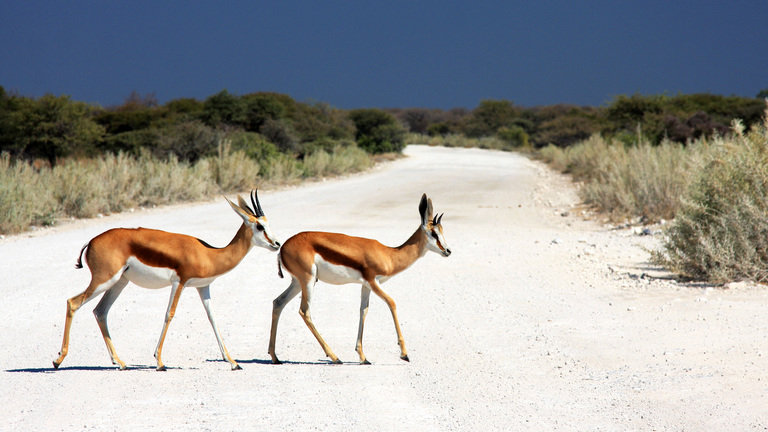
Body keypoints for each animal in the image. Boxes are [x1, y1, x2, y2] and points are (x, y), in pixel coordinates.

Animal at [52, 190, 280, 371]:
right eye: (259, 226)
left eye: (268, 223)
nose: (277, 243)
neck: (208, 254)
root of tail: (91, 241)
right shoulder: (179, 282)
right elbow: (169, 314)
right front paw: (159, 362)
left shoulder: (203, 286)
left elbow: (213, 318)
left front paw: (233, 362)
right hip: (104, 280)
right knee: (73, 303)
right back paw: (58, 360)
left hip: (119, 283)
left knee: (100, 311)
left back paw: (120, 362)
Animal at [268, 193, 450, 365]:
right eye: (434, 233)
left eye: (441, 231)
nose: (448, 251)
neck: (389, 255)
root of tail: (282, 247)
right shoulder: (373, 281)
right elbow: (391, 303)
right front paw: (404, 354)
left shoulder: (366, 286)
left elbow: (363, 310)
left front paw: (363, 357)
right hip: (308, 280)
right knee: (304, 311)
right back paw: (335, 357)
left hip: (297, 282)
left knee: (278, 302)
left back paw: (275, 357)